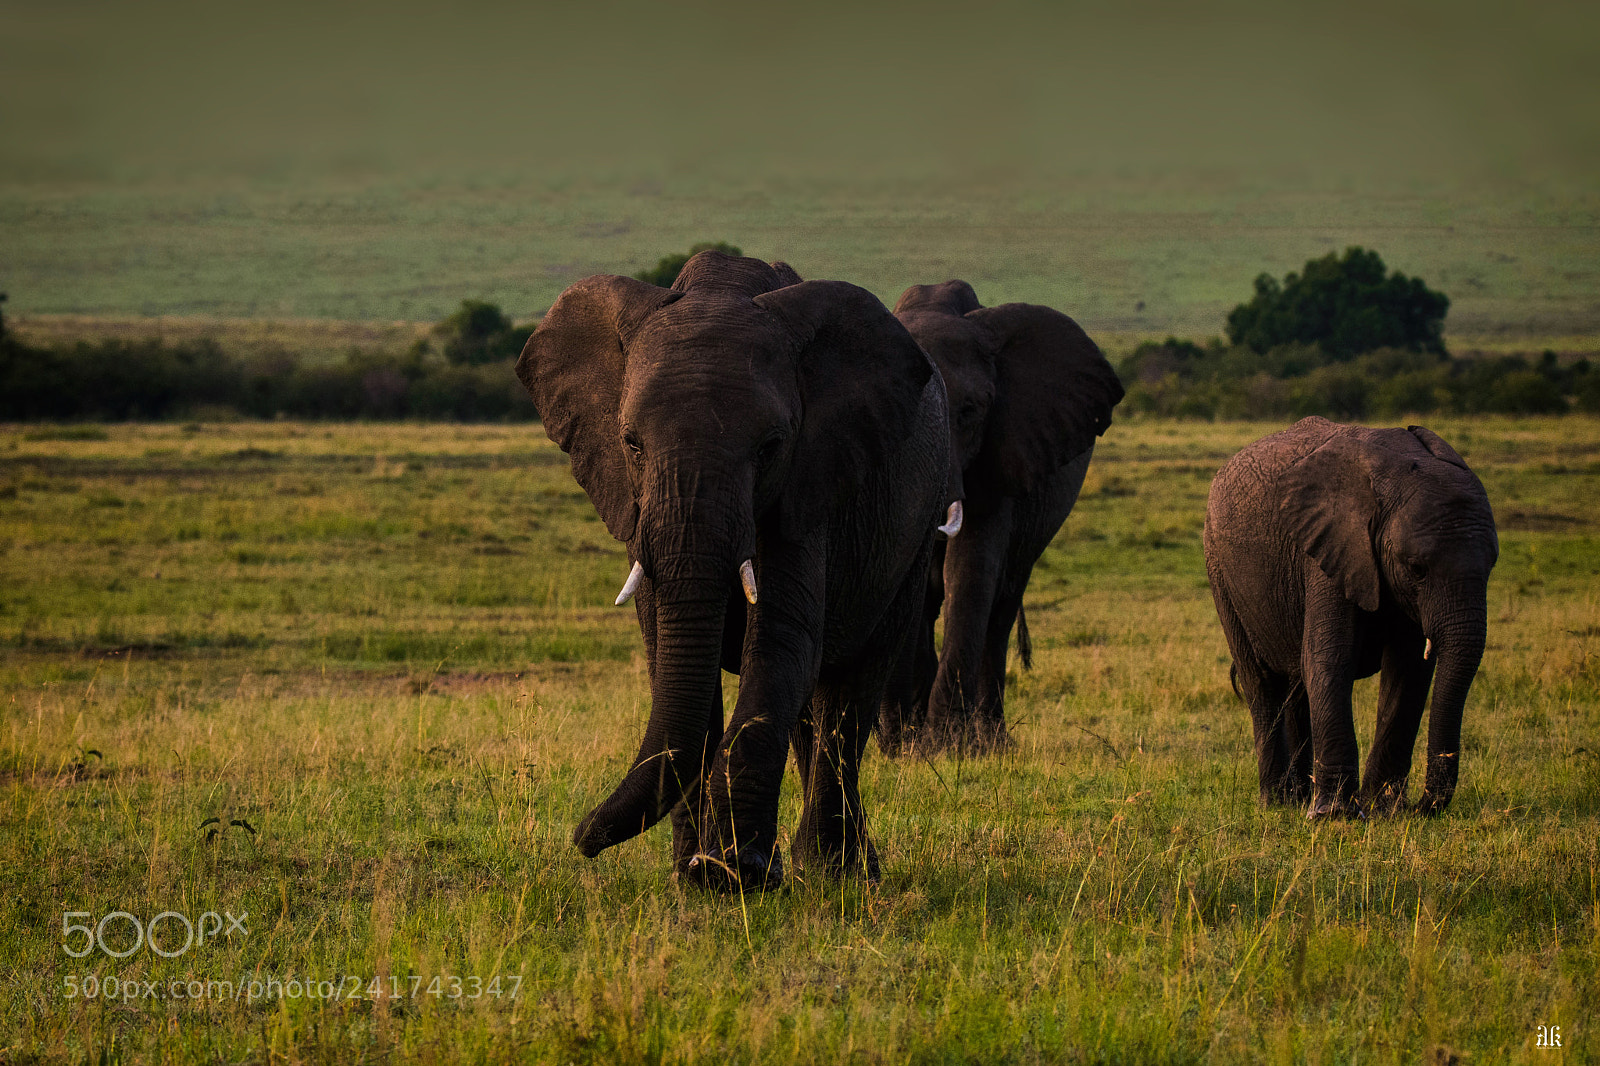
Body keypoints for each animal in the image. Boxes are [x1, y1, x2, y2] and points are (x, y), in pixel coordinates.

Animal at [516, 250, 950, 890]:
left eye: (770, 446)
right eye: (631, 443)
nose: (583, 838)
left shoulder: (810, 483)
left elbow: (780, 643)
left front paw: (731, 872)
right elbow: (668, 651)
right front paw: (693, 874)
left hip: (919, 523)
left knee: (851, 691)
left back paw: (837, 872)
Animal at [876, 280, 1124, 753]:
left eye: (970, 412)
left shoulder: (1002, 450)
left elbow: (971, 570)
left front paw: (945, 746)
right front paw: (901, 745)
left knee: (1001, 607)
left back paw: (991, 742)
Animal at [1203, 416, 1498, 818]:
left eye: (1492, 566)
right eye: (1417, 569)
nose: (1421, 806)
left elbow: (1408, 671)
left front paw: (1383, 809)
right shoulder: (1329, 549)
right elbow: (1330, 659)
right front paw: (1335, 816)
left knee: (1297, 686)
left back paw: (1299, 799)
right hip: (1220, 570)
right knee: (1261, 683)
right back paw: (1278, 802)